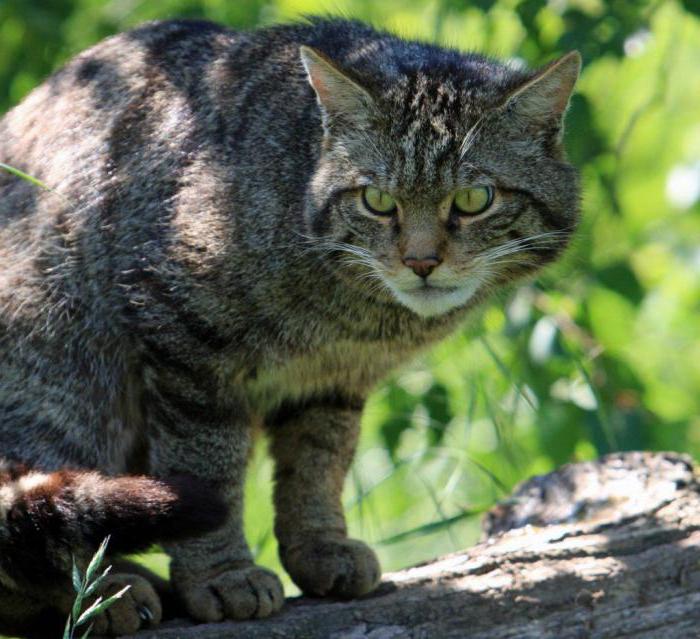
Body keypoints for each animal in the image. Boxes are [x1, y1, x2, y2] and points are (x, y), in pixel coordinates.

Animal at [0, 17, 580, 636]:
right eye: (378, 200)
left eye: (474, 199)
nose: (421, 262)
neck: (353, 313)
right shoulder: (184, 333)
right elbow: (208, 468)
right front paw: (220, 574)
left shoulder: (334, 380)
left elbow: (318, 466)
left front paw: (320, 546)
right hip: (68, 365)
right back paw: (102, 591)